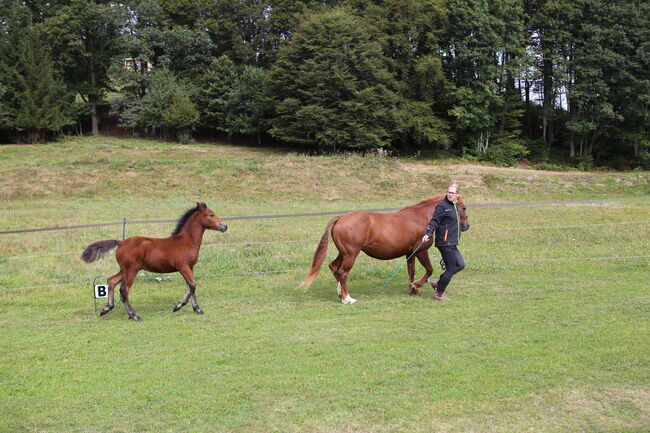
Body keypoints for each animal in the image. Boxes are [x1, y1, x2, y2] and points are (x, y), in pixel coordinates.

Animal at [82, 202, 227, 320]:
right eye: (211, 215)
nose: (225, 226)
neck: (186, 242)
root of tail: (121, 242)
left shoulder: (190, 267)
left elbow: (190, 286)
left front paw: (197, 309)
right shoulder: (183, 267)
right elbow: (193, 285)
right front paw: (178, 306)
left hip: (124, 269)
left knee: (111, 281)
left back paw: (106, 308)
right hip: (132, 270)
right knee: (124, 289)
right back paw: (133, 315)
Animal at [298, 197, 466, 304]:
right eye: (464, 207)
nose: (466, 226)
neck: (420, 217)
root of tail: (341, 218)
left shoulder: (409, 253)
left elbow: (411, 271)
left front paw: (413, 289)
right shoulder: (421, 251)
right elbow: (429, 270)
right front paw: (416, 285)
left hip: (343, 253)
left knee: (334, 267)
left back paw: (340, 293)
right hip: (351, 254)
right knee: (343, 273)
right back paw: (347, 299)